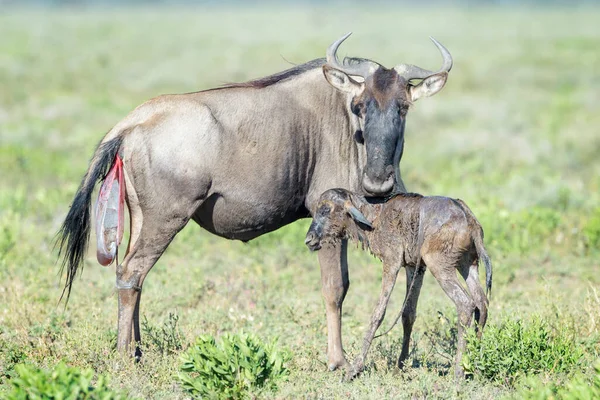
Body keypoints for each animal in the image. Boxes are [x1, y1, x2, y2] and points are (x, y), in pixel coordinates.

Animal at [304, 189, 492, 380]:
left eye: (325, 210)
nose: (309, 239)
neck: (374, 216)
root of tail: (467, 217)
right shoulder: (415, 267)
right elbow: (408, 313)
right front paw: (399, 367)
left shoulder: (391, 263)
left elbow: (378, 313)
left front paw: (355, 369)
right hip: (467, 264)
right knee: (481, 303)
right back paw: (474, 366)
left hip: (441, 266)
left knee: (466, 304)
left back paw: (459, 373)